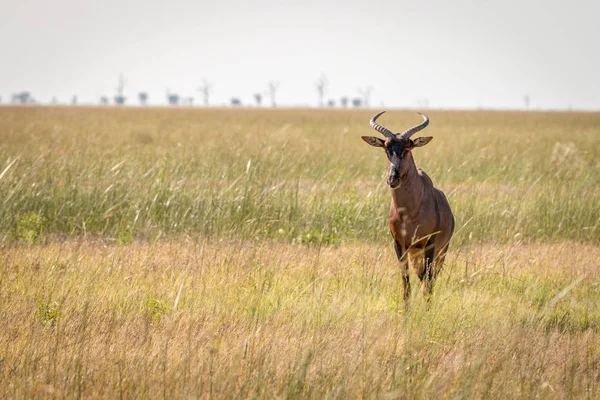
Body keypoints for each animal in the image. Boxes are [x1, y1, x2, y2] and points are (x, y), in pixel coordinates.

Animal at [360, 111, 454, 298]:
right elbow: (406, 286)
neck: (411, 212)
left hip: (440, 252)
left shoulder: (430, 243)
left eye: (407, 148)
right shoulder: (399, 244)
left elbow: (427, 286)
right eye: (386, 149)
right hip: (415, 255)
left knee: (431, 279)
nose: (393, 179)